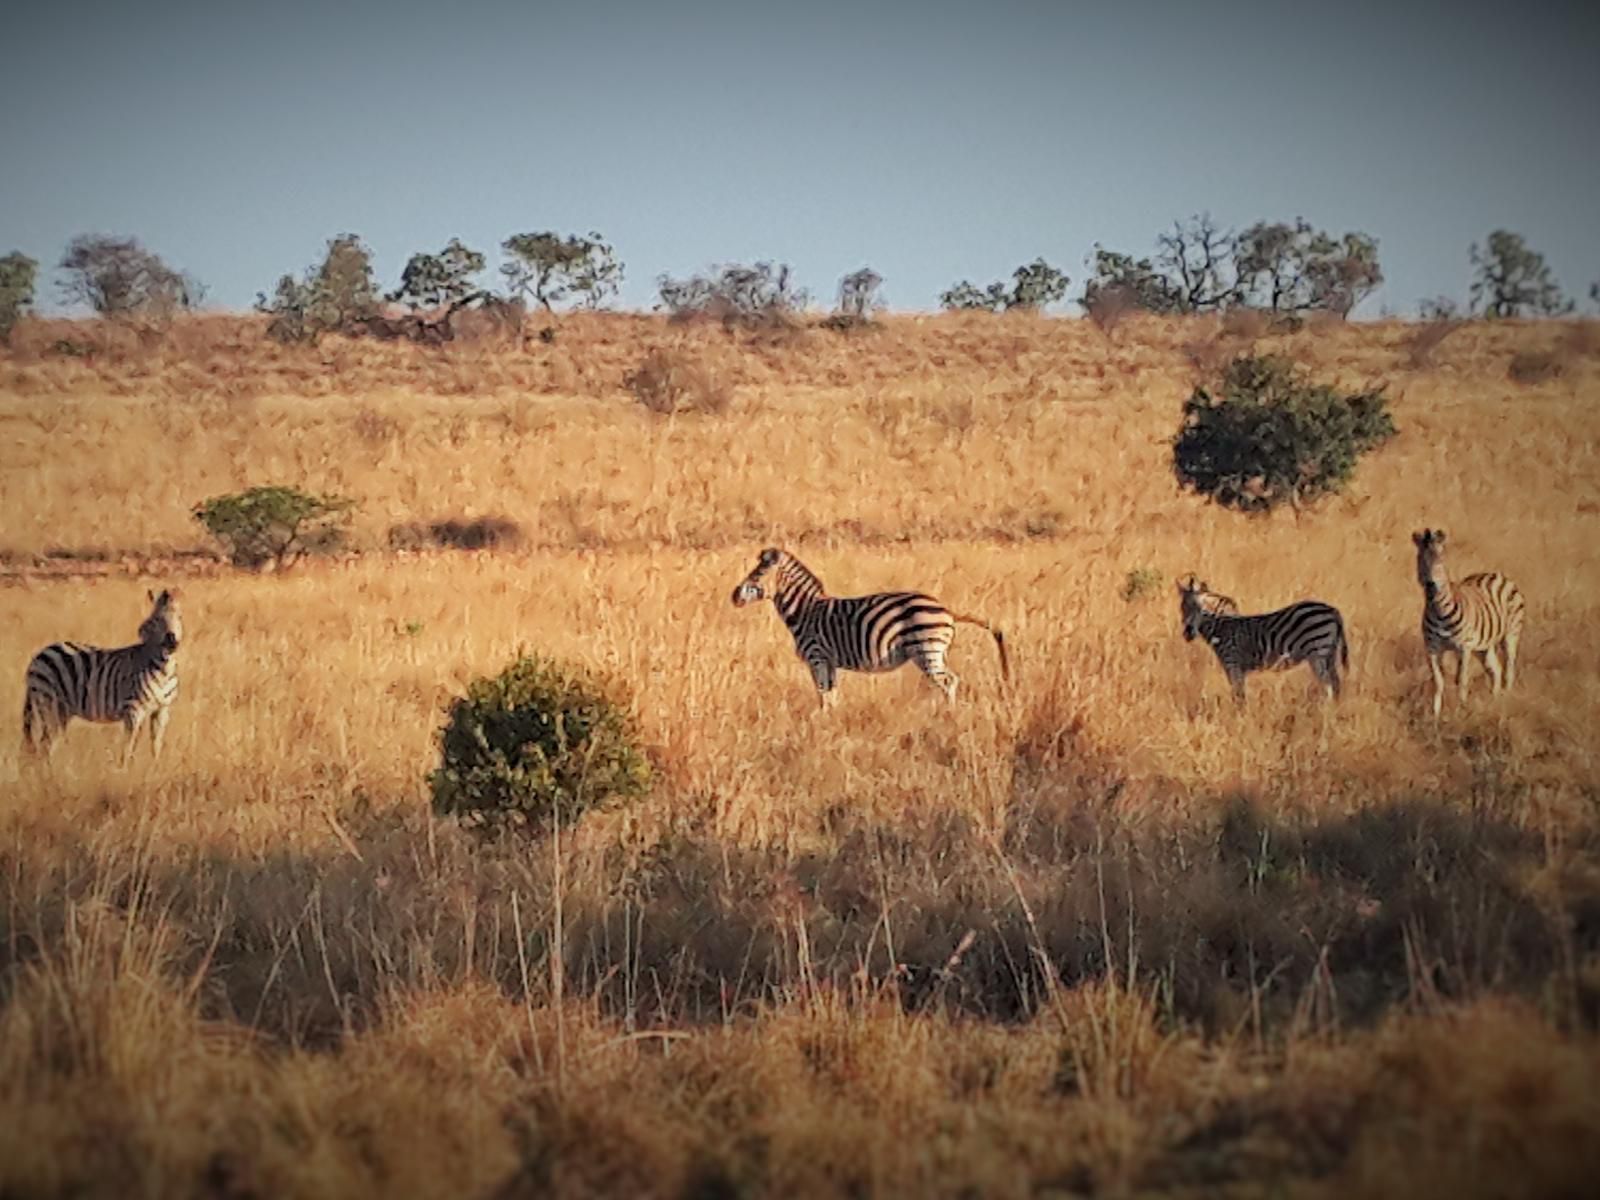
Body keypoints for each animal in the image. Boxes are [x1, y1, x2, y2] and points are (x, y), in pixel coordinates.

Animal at [22, 588, 184, 764]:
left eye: (180, 617)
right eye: (157, 620)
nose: (172, 641)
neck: (163, 669)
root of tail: (39, 655)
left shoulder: (162, 710)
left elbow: (156, 746)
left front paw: (154, 767)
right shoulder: (133, 710)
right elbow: (127, 748)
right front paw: (123, 769)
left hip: (61, 709)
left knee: (47, 744)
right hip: (49, 702)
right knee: (45, 745)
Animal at [729, 550, 1004, 710]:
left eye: (758, 573)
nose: (733, 596)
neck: (804, 612)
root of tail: (946, 609)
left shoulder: (817, 657)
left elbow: (822, 696)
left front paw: (820, 728)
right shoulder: (829, 661)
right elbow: (832, 695)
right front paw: (832, 726)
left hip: (927, 650)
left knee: (948, 682)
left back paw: (949, 718)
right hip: (938, 652)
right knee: (951, 680)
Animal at [1177, 579, 1350, 710]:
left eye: (1200, 609)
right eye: (1182, 607)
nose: (1187, 633)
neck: (1219, 628)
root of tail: (1333, 610)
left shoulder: (1233, 665)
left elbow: (1238, 696)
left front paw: (1239, 718)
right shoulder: (1236, 668)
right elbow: (1239, 695)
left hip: (1317, 652)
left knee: (1328, 686)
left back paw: (1325, 711)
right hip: (1329, 653)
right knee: (1336, 684)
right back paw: (1336, 709)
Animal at [1414, 531, 1523, 720]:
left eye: (1441, 560)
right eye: (1420, 559)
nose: (1429, 585)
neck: (1439, 611)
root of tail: (1497, 574)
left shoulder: (1463, 648)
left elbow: (1461, 680)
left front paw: (1461, 712)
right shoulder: (1432, 648)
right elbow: (1438, 681)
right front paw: (1435, 716)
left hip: (1511, 635)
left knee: (1509, 669)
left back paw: (1505, 700)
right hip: (1483, 647)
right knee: (1496, 669)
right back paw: (1494, 701)